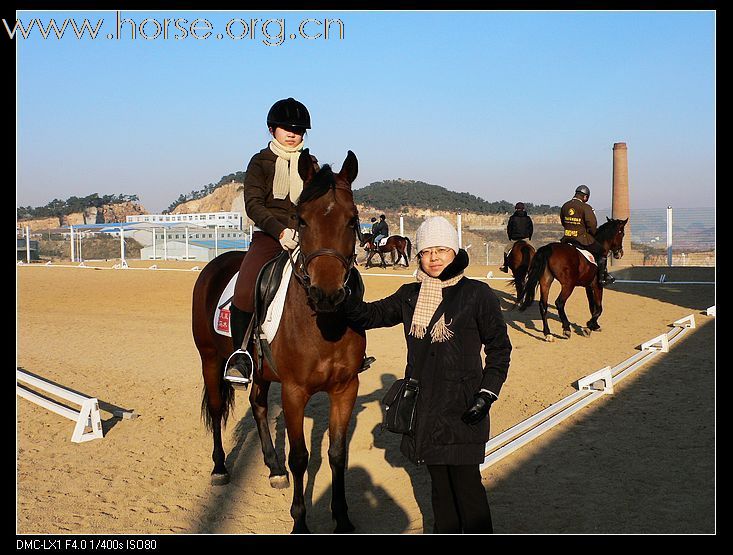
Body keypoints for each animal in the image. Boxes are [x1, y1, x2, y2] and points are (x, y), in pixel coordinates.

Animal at [193, 151, 366, 536]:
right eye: (301, 220)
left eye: (352, 220)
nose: (327, 294)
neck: (323, 324)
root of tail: (216, 263)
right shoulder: (294, 391)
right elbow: (301, 457)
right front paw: (300, 520)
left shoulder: (346, 388)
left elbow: (338, 454)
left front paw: (343, 518)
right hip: (210, 359)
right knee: (217, 410)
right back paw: (220, 468)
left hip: (258, 370)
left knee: (257, 406)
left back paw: (273, 468)